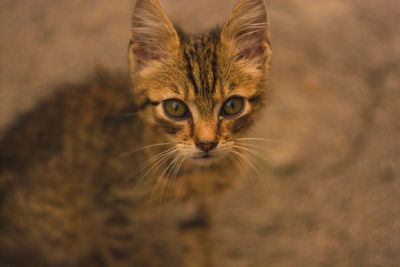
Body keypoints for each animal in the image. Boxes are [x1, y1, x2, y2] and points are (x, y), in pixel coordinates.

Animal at [0, 0, 272, 266]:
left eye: (232, 106)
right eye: (175, 108)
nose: (206, 144)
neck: (194, 175)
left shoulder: (194, 213)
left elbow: (198, 251)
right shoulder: (113, 214)